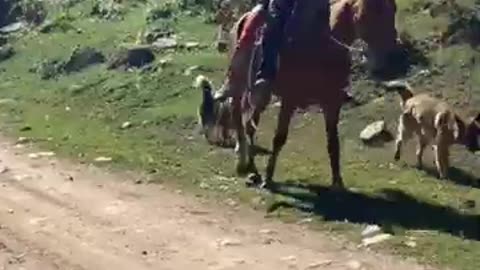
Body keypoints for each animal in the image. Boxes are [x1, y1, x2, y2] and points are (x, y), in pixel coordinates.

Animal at [228, 0, 398, 190]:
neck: (321, 46)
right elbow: (279, 138)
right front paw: (268, 178)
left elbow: (333, 142)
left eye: (393, 9)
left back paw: (250, 168)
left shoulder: (332, 102)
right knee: (240, 120)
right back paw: (247, 167)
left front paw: (337, 182)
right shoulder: (290, 99)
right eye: (376, 10)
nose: (391, 54)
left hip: (259, 95)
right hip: (239, 86)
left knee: (250, 123)